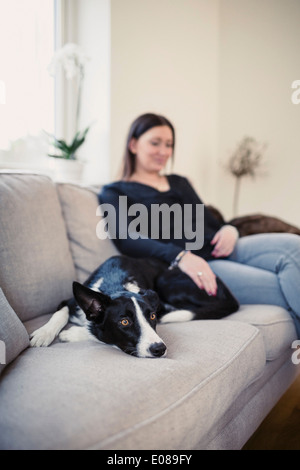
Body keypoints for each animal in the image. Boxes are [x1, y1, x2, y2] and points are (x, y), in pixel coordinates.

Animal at [30, 255, 239, 358]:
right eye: (124, 322)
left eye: (152, 317)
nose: (159, 349)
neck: (115, 285)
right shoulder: (69, 302)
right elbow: (59, 314)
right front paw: (42, 333)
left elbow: (92, 331)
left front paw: (71, 333)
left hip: (165, 281)